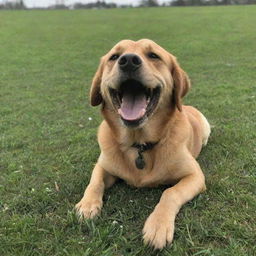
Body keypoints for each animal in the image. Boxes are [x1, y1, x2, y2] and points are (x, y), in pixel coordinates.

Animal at [75, 39, 211, 249]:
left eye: (153, 55)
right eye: (114, 57)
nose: (129, 61)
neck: (139, 143)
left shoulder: (195, 175)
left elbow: (170, 192)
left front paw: (158, 225)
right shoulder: (102, 165)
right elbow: (95, 182)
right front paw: (87, 205)